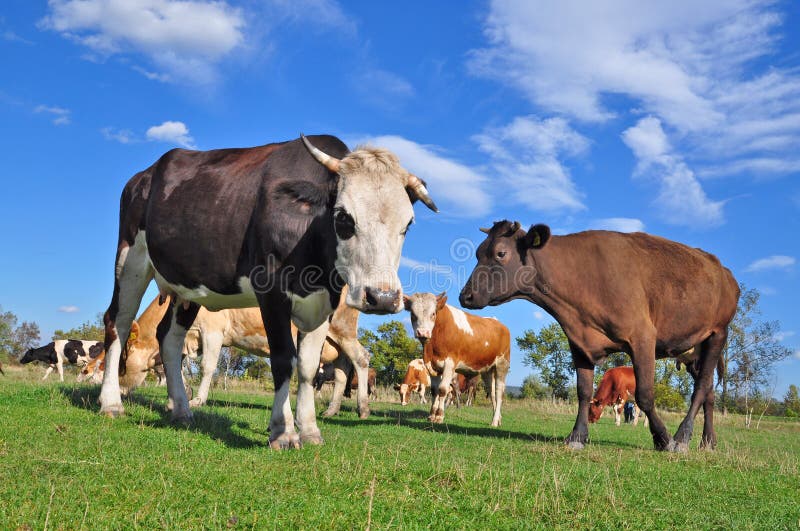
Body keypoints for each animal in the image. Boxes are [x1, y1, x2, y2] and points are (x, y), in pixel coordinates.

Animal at [101, 134, 440, 448]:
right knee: (118, 322)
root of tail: (145, 174)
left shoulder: (323, 304)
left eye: (408, 224)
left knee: (168, 338)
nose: (382, 298)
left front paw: (310, 430)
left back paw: (182, 410)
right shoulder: (272, 292)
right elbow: (283, 359)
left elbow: (307, 366)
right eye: (344, 217)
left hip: (186, 286)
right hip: (130, 258)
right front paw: (284, 431)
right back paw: (111, 403)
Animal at [404, 294, 510, 426]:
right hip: (487, 370)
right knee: (492, 393)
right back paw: (498, 419)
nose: (422, 332)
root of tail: (498, 322)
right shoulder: (433, 366)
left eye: (433, 313)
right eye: (413, 314)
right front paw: (431, 415)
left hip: (502, 365)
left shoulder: (450, 364)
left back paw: (495, 421)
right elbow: (434, 391)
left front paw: (439, 416)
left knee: (499, 393)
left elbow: (442, 390)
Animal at [460, 221, 740, 454]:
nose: (466, 296)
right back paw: (708, 441)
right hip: (695, 351)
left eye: (500, 253)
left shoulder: (642, 337)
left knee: (701, 389)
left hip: (717, 333)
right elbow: (583, 392)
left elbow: (645, 395)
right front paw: (577, 436)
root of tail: (723, 271)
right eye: (477, 253)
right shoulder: (579, 343)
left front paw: (664, 439)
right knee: (709, 393)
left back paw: (682, 437)